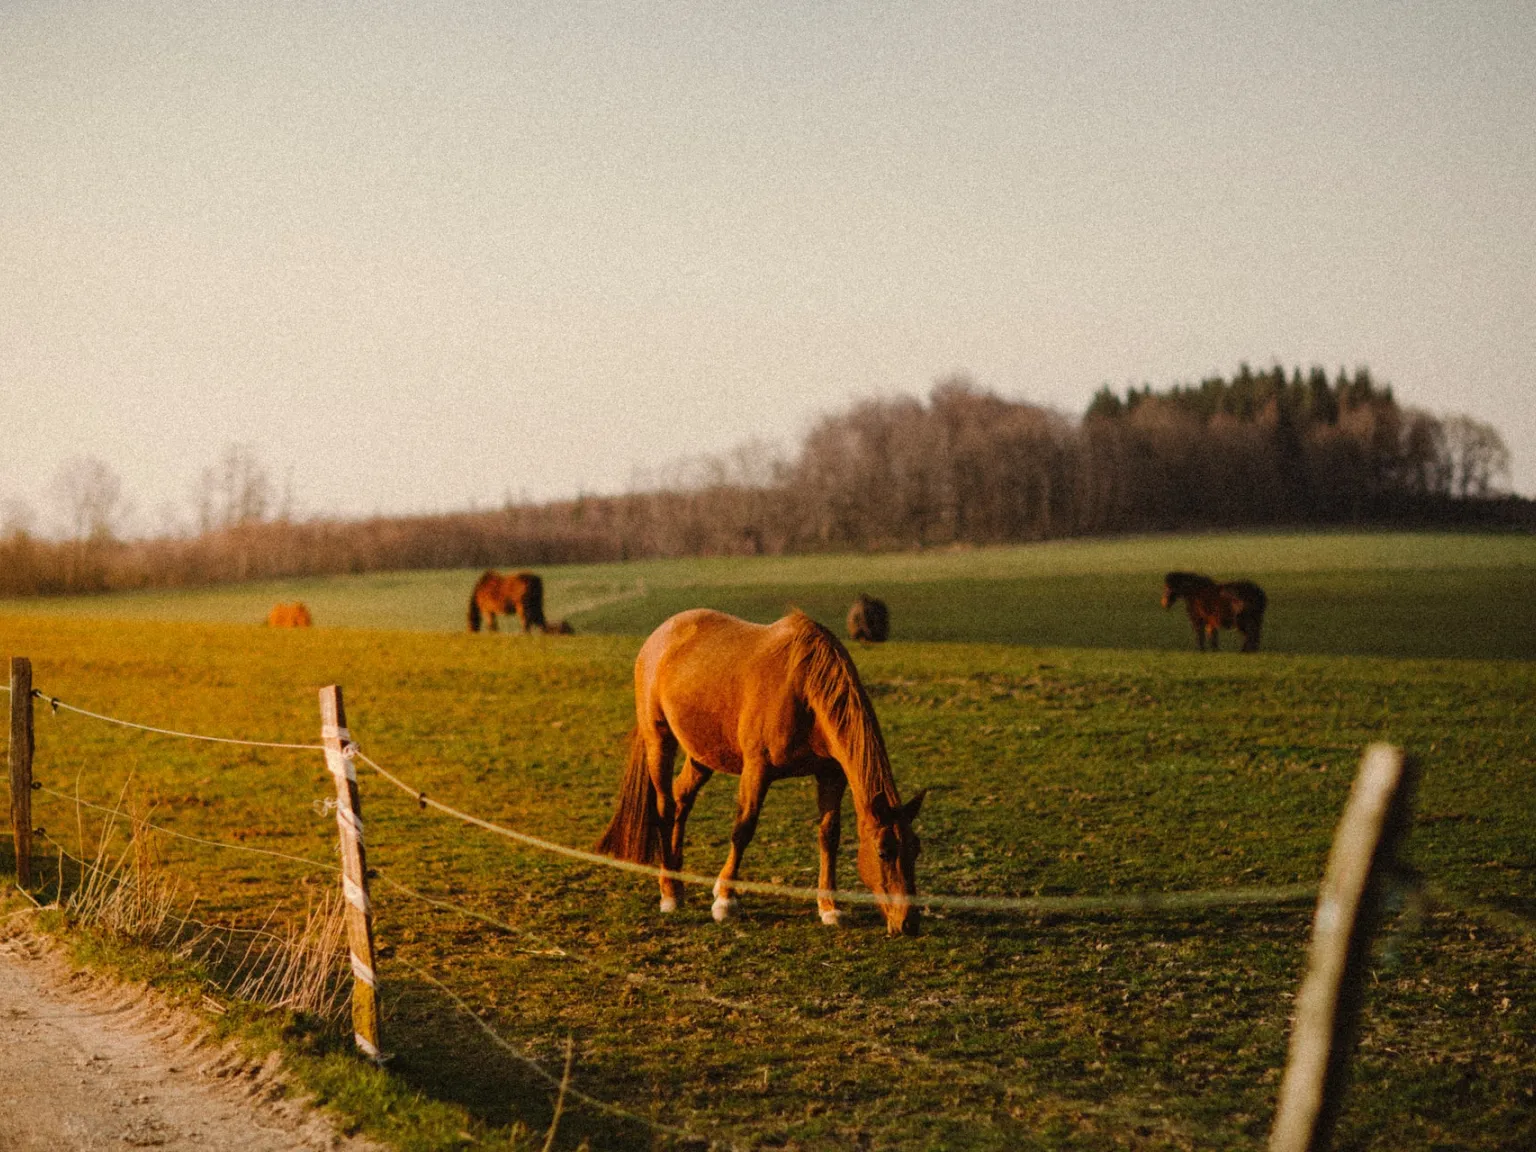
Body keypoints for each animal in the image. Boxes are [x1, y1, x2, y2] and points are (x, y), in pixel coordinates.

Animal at [595, 609, 926, 936]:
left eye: (916, 849)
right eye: (883, 852)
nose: (908, 922)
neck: (803, 688)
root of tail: (660, 635)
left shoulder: (831, 775)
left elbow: (829, 835)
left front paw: (829, 908)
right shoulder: (757, 769)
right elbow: (743, 829)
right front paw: (725, 900)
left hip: (702, 754)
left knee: (681, 799)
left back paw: (677, 875)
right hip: (659, 740)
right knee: (665, 807)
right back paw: (669, 892)